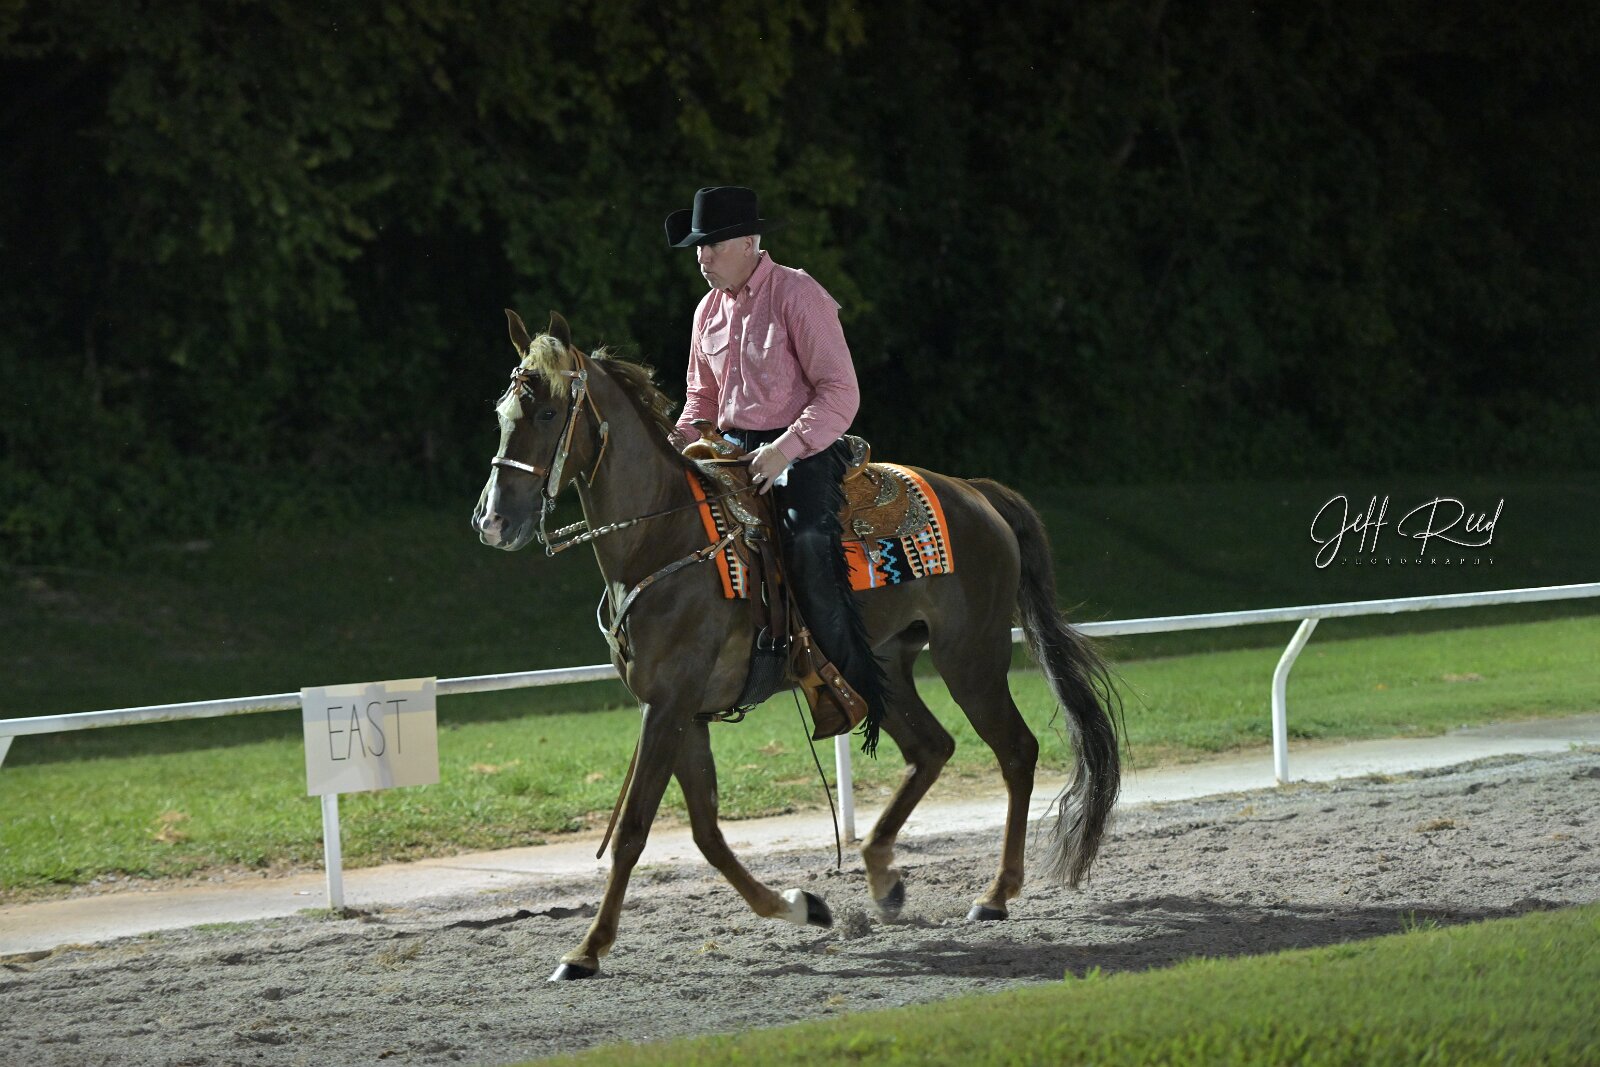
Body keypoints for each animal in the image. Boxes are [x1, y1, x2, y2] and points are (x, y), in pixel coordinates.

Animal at [472, 310, 1121, 981]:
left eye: (549, 412)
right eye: (503, 413)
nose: (493, 522)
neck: (663, 541)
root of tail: (974, 491)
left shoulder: (669, 704)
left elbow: (634, 829)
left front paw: (586, 950)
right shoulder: (683, 711)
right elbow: (706, 832)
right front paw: (800, 907)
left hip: (971, 657)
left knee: (1016, 751)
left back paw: (995, 894)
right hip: (884, 664)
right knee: (931, 748)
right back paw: (883, 877)